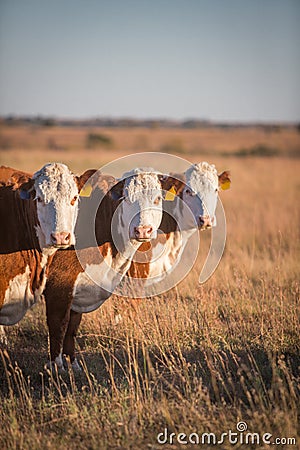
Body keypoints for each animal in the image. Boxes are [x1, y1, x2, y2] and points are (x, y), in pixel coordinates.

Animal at [43, 169, 164, 370]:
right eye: (126, 198)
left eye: (158, 198)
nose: (143, 230)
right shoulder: (59, 284)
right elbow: (58, 325)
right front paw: (56, 367)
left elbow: (72, 327)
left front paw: (74, 364)